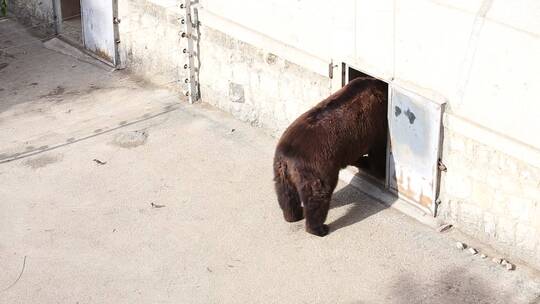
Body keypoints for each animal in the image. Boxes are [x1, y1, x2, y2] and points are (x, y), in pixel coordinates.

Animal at [272, 77, 386, 236]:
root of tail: (287, 155)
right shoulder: (377, 124)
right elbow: (378, 154)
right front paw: (378, 169)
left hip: (280, 171)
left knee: (286, 194)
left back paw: (293, 215)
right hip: (317, 165)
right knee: (318, 194)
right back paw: (319, 228)